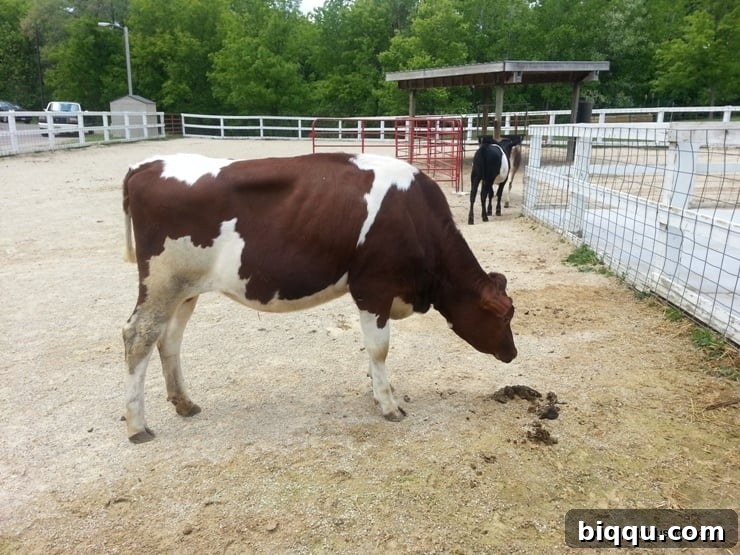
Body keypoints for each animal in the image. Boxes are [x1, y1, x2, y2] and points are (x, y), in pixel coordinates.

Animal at [122, 152, 517, 443]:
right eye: (504, 315)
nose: (512, 353)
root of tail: (147, 164)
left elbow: (373, 352)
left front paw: (379, 391)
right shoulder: (373, 288)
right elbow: (379, 349)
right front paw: (388, 404)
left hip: (184, 288)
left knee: (169, 340)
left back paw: (184, 403)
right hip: (161, 282)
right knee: (138, 336)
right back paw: (137, 425)